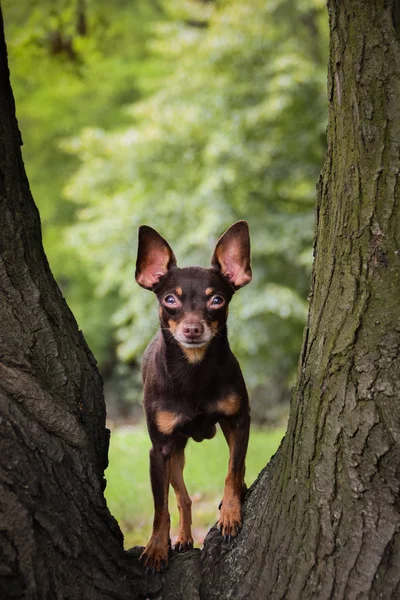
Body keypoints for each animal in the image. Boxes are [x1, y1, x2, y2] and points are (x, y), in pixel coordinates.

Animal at [136, 220, 252, 572]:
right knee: (183, 497)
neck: (193, 373)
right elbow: (160, 508)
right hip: (175, 452)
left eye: (217, 300)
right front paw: (156, 548)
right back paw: (184, 539)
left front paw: (231, 513)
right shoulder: (159, 448)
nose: (192, 329)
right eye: (170, 299)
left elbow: (232, 470)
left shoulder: (238, 421)